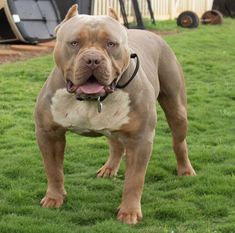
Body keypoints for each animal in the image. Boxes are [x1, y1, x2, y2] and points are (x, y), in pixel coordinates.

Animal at [35, 5, 196, 224]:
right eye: (74, 43)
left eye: (111, 44)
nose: (93, 60)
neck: (92, 99)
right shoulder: (48, 134)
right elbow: (53, 170)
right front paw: (54, 198)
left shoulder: (140, 140)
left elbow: (134, 180)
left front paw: (129, 212)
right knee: (116, 145)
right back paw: (109, 169)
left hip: (177, 109)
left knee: (179, 143)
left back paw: (185, 170)